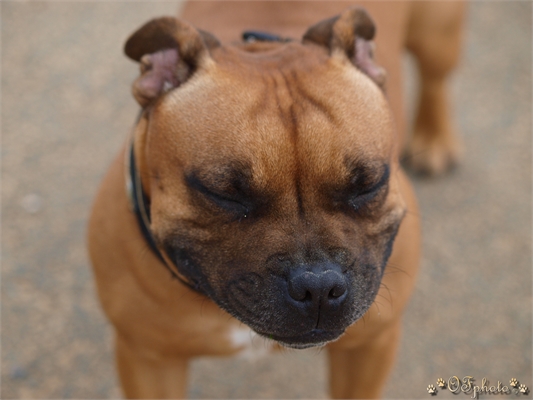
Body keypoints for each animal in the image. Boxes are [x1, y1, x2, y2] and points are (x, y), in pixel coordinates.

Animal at [87, 2, 462, 396]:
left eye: (369, 185)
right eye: (223, 194)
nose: (318, 286)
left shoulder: (370, 345)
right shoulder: (150, 358)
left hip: (437, 33)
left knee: (436, 76)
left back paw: (435, 136)